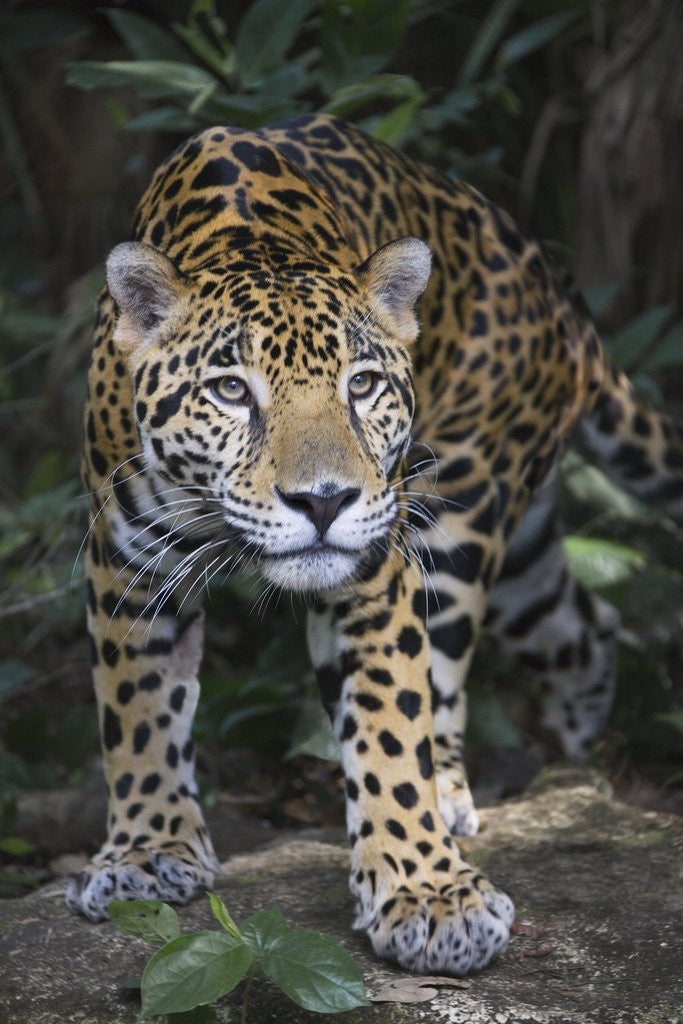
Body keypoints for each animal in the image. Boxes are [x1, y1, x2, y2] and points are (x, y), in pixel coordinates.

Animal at [67, 113, 683, 975]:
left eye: (360, 385)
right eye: (229, 391)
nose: (324, 500)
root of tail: (560, 298)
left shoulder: (376, 570)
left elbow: (393, 723)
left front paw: (428, 895)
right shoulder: (128, 562)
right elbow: (137, 710)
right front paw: (145, 851)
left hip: (463, 510)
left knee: (450, 674)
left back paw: (452, 792)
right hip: (523, 547)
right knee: (583, 624)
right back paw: (578, 741)